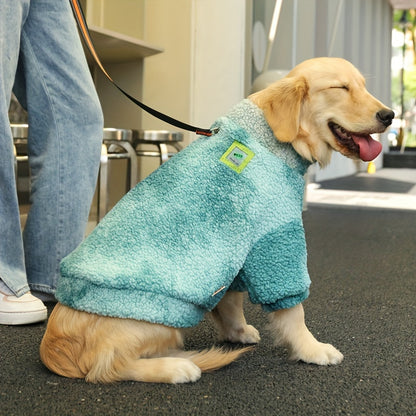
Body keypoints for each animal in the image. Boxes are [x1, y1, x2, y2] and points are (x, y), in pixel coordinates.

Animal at [40, 57, 394, 384]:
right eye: (340, 88)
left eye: (363, 86)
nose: (388, 115)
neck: (274, 140)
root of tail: (53, 346)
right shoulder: (274, 235)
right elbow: (293, 310)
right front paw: (312, 349)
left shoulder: (238, 247)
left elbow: (230, 300)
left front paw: (238, 331)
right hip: (156, 315)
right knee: (106, 367)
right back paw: (177, 367)